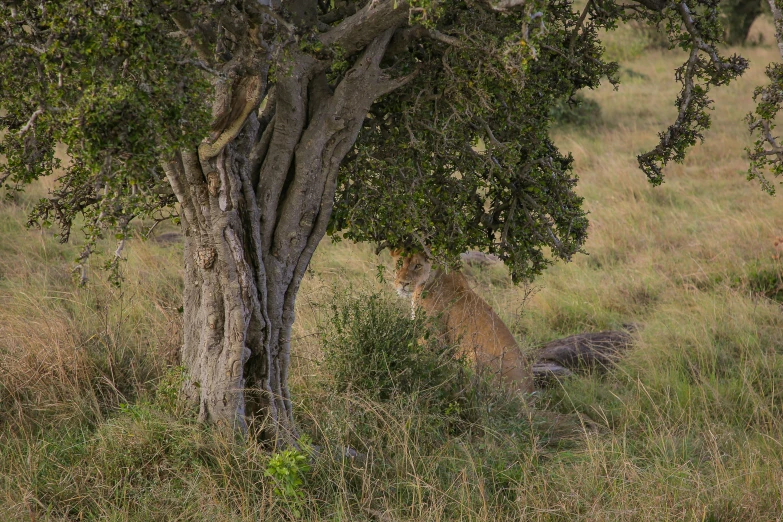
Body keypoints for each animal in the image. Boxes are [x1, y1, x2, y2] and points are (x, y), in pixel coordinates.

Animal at [390, 250, 536, 392]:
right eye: (399, 263)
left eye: (418, 266)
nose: (403, 283)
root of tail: (530, 390)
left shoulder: (431, 335)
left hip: (475, 355)